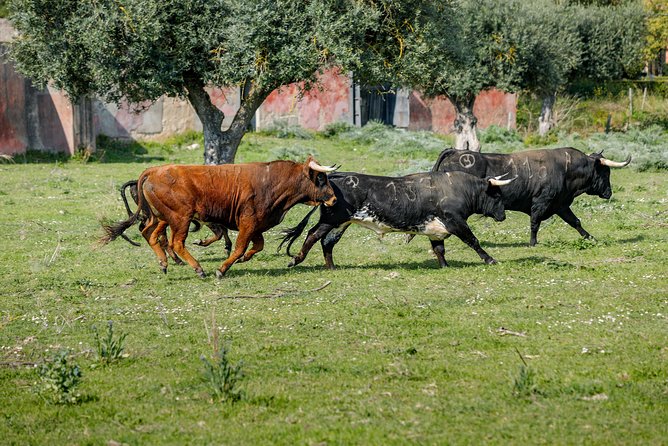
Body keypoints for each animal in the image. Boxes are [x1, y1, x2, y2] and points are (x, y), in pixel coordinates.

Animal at [100, 156, 338, 278]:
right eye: (321, 179)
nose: (334, 199)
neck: (270, 181)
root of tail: (154, 171)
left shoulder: (257, 226)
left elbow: (257, 246)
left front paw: (244, 259)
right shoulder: (248, 223)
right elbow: (240, 247)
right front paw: (222, 269)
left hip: (160, 218)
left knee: (150, 234)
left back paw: (164, 263)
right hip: (180, 218)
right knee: (175, 242)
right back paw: (198, 269)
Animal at [278, 170, 515, 269]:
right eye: (497, 196)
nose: (503, 216)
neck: (458, 189)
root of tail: (335, 177)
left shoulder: (435, 230)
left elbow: (439, 249)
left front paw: (445, 266)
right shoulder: (456, 222)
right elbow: (473, 241)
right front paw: (490, 259)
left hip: (341, 223)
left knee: (327, 243)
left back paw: (332, 267)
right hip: (331, 220)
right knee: (313, 235)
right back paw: (296, 260)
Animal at [432, 148, 631, 246]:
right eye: (605, 172)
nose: (609, 193)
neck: (566, 168)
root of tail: (457, 152)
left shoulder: (560, 205)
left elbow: (575, 222)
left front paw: (590, 237)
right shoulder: (541, 202)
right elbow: (535, 223)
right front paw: (533, 243)